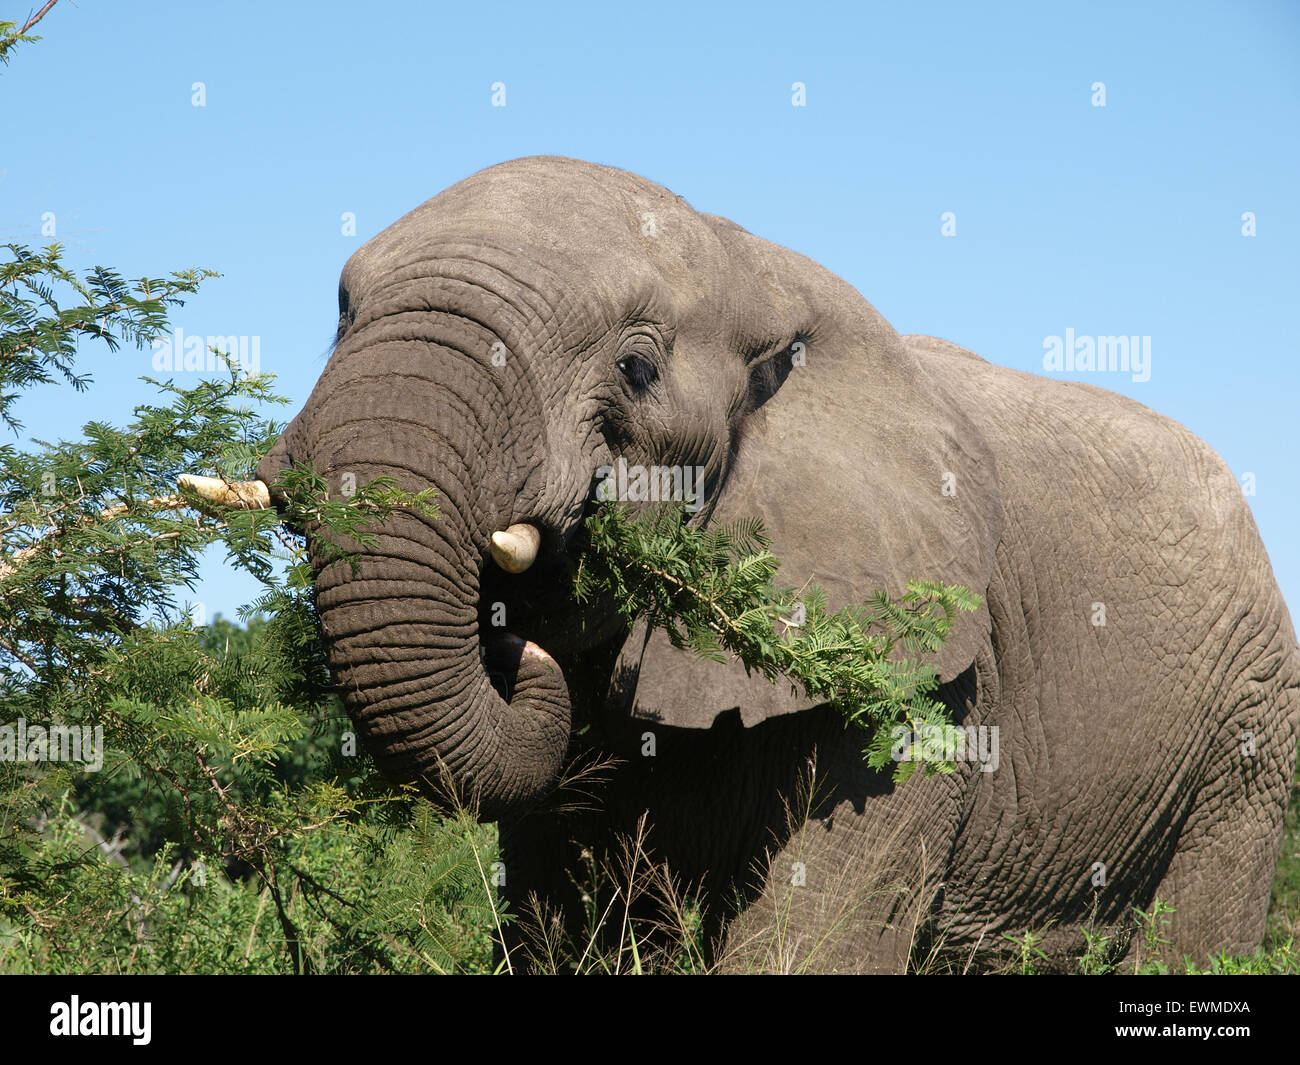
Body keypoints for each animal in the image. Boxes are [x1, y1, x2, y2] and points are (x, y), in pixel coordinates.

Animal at [245, 156, 1300, 972]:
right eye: (341, 316)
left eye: (636, 369)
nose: (513, 650)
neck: (752, 263)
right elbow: (557, 926)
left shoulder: (929, 686)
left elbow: (809, 940)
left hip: (1247, 737)